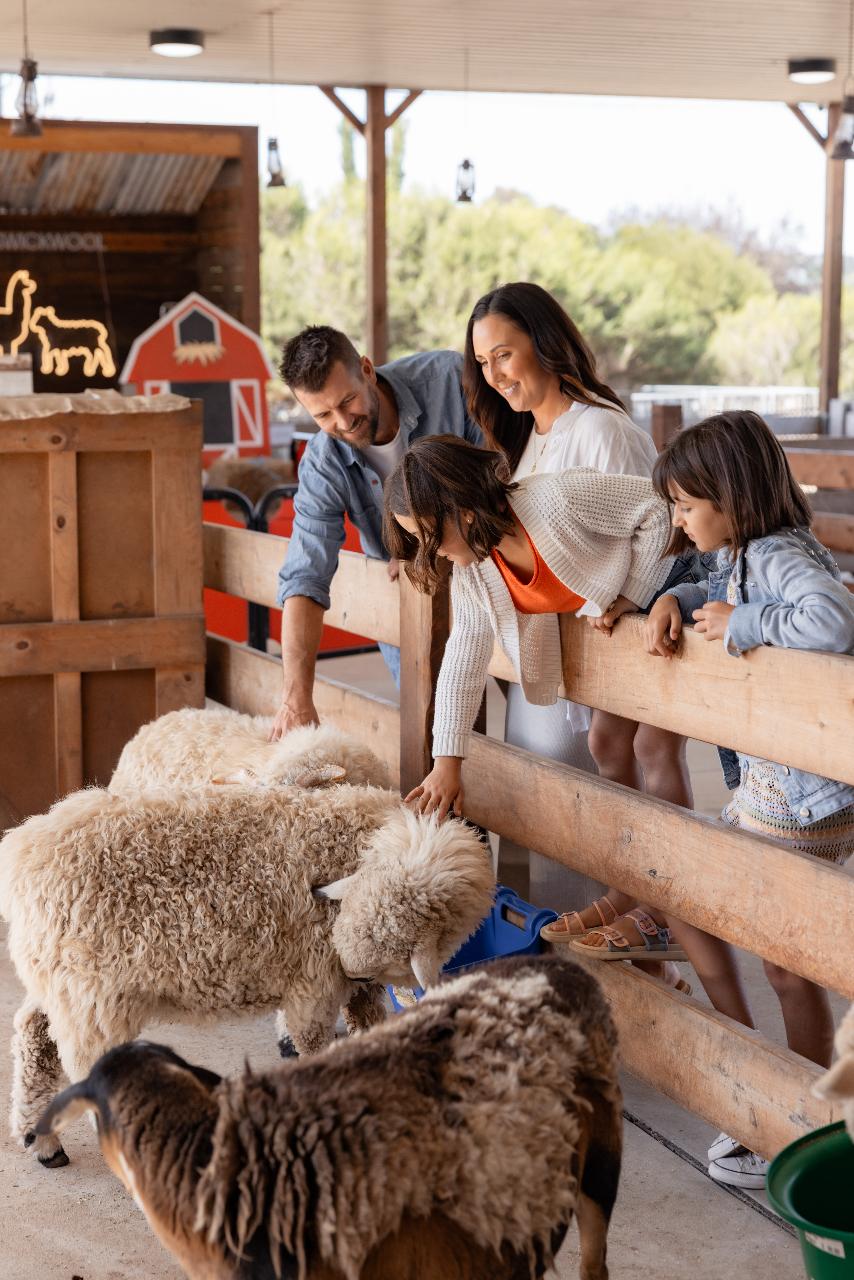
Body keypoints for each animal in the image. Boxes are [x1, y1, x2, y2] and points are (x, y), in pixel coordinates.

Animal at [1, 778, 494, 1172]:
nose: (352, 968)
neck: (355, 842)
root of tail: (23, 852)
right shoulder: (313, 982)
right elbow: (313, 1043)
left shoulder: (355, 989)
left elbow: (368, 1029)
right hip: (92, 994)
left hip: (61, 981)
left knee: (33, 1033)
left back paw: (39, 1141)